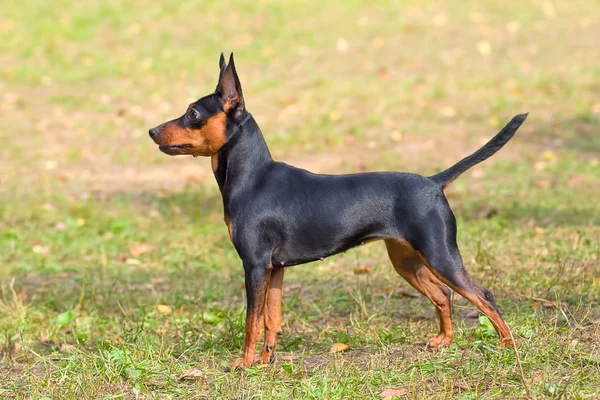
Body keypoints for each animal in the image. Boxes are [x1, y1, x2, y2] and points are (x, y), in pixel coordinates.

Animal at [148, 54, 528, 372]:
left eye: (193, 113)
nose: (151, 131)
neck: (254, 178)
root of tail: (434, 181)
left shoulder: (255, 266)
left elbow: (251, 322)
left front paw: (243, 365)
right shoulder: (275, 269)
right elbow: (272, 320)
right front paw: (266, 363)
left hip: (440, 255)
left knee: (483, 295)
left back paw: (508, 347)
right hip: (407, 260)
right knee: (443, 295)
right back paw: (444, 342)